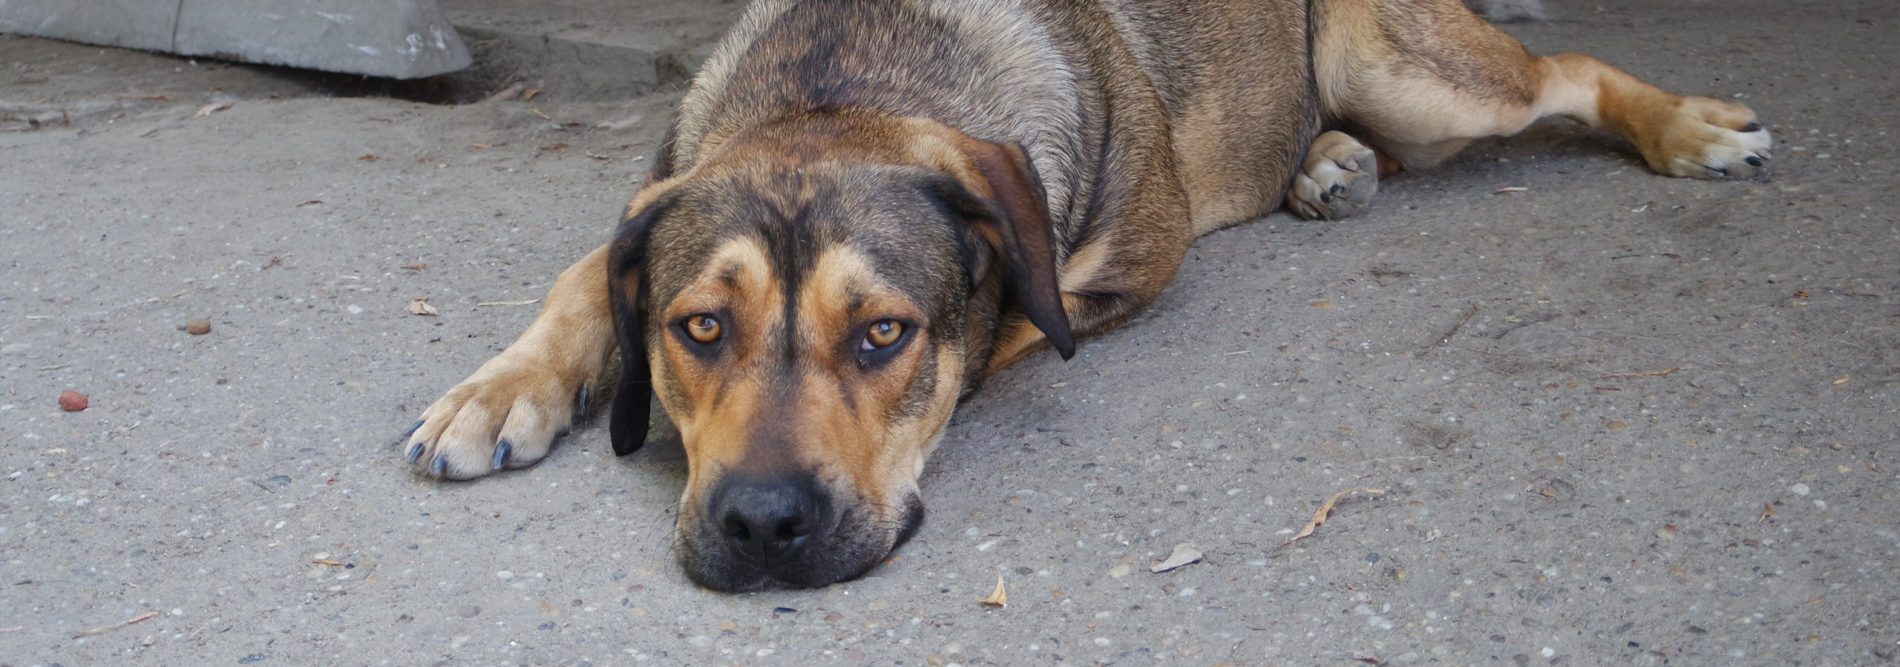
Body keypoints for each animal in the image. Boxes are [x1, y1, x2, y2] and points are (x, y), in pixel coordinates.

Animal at [397, 0, 1763, 592]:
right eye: (698, 329)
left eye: (884, 334)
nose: (762, 525)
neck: (843, 78)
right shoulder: (655, 197)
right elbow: (587, 270)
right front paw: (501, 389)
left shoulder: (1103, 271)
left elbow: (1011, 311)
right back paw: (1321, 161)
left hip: (1413, 71)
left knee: (1564, 68)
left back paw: (1690, 128)